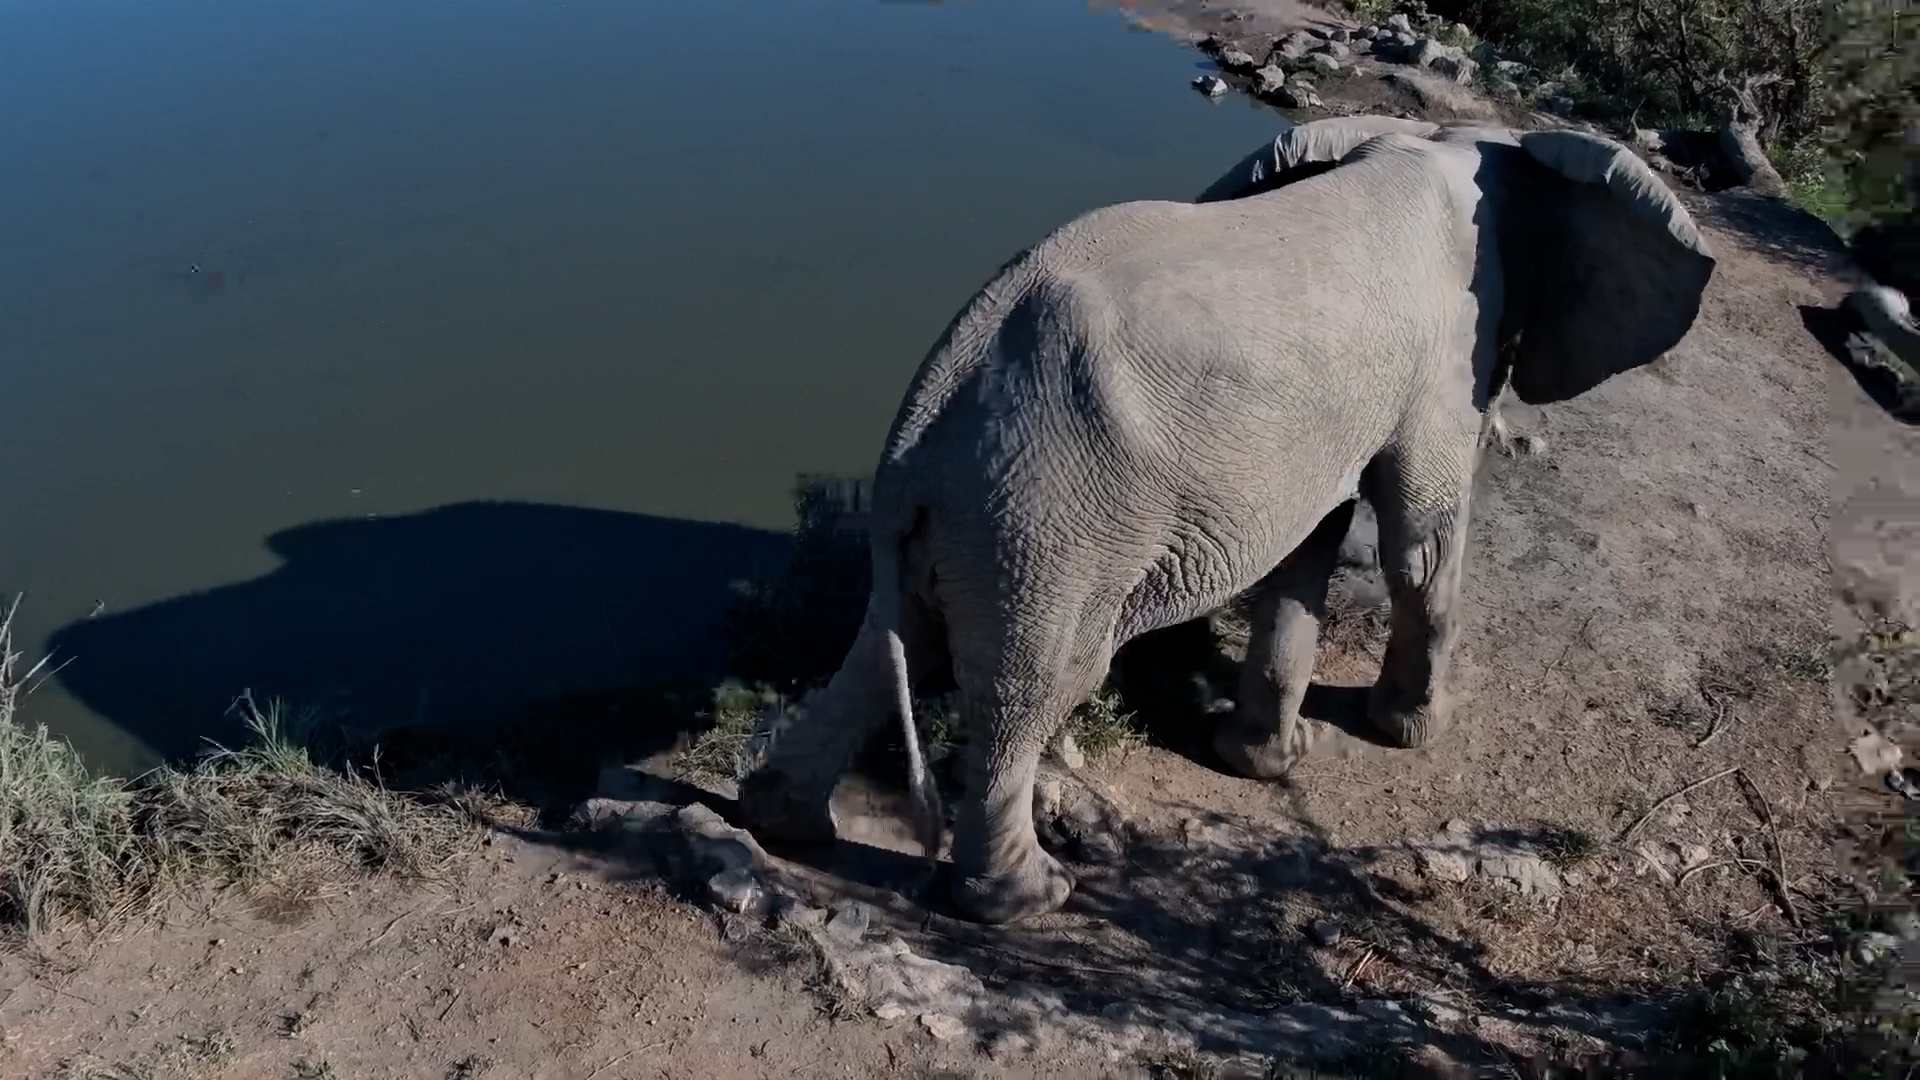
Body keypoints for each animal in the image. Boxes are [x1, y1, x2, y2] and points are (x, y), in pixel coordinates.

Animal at [739, 115, 1716, 924]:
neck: (1443, 141)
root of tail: (925, 421)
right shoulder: (1447, 357)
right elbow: (1420, 544)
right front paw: (1413, 732)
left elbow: (1308, 548)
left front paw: (1266, 760)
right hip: (1050, 527)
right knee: (1035, 685)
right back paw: (1030, 900)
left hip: (982, 525)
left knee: (893, 640)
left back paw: (784, 821)